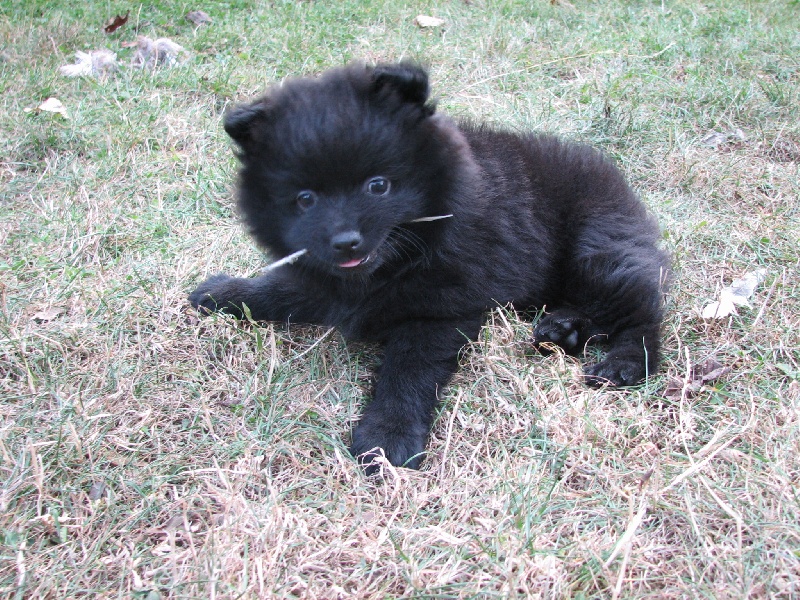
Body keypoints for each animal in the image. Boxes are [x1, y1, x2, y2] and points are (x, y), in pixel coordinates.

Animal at [189, 62, 668, 474]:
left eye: (378, 186)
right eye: (305, 199)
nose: (345, 241)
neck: (397, 262)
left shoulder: (439, 309)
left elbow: (408, 372)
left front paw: (388, 436)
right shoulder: (323, 276)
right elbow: (281, 289)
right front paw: (225, 292)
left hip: (598, 249)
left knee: (640, 311)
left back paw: (623, 363)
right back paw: (562, 329)